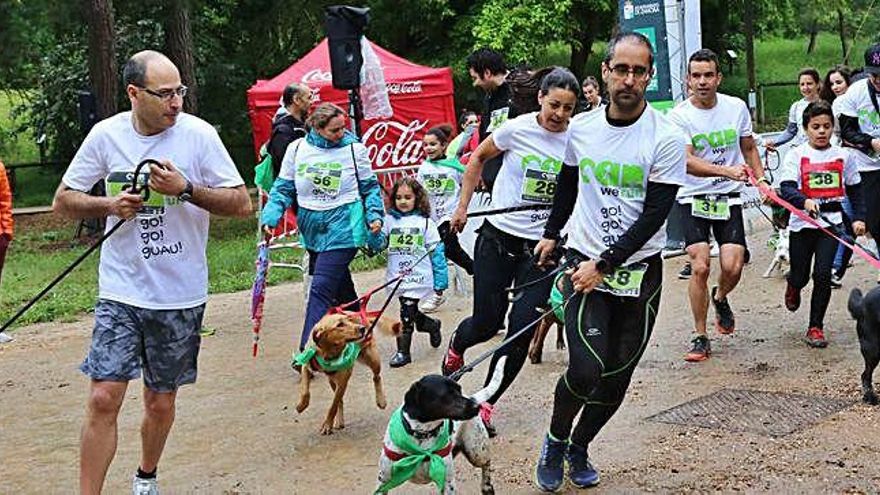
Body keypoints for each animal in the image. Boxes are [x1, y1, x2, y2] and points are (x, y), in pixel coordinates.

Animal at [374, 356, 506, 492]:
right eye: (447, 394)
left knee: (486, 463)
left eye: (459, 390)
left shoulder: (448, 484)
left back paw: (486, 485)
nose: (477, 407)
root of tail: (472, 397)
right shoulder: (382, 483)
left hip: (477, 452)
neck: (423, 434)